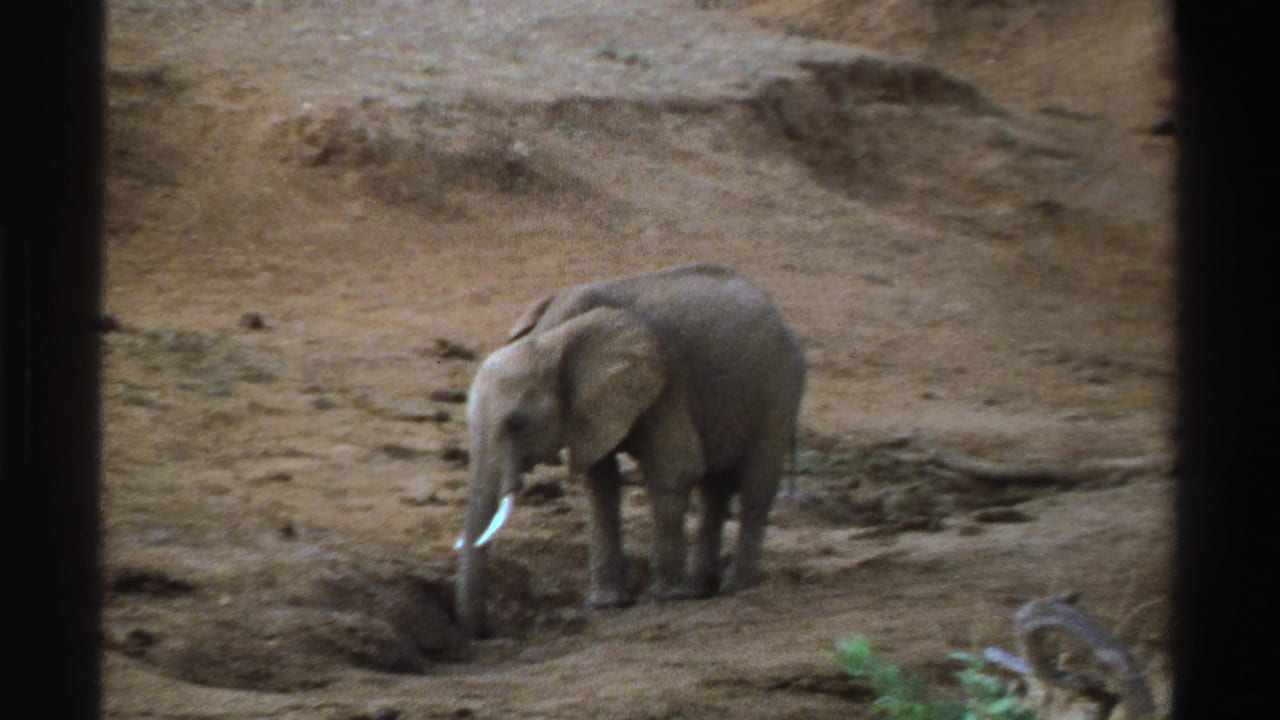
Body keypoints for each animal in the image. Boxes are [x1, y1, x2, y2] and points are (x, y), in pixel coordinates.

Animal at [453, 262, 806, 638]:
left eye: (518, 423)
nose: (485, 630)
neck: (551, 338)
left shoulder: (665, 381)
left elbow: (675, 469)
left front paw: (666, 597)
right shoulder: (589, 409)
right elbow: (600, 484)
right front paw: (606, 604)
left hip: (780, 390)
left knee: (755, 486)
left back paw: (735, 588)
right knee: (716, 489)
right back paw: (701, 590)